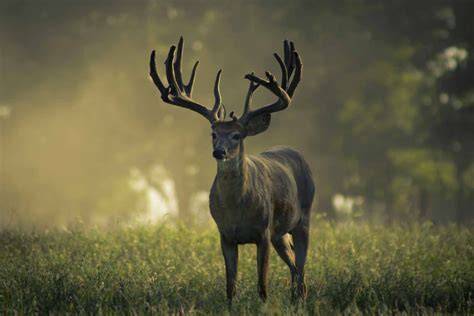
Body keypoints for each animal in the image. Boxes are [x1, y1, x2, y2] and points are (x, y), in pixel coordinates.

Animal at [150, 36, 314, 304]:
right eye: (213, 134)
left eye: (237, 135)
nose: (219, 152)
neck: (237, 210)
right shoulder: (225, 235)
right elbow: (230, 285)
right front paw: (230, 305)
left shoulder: (263, 233)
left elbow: (262, 284)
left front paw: (264, 305)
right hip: (280, 234)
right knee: (293, 265)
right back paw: (295, 298)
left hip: (304, 218)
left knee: (300, 267)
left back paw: (300, 299)